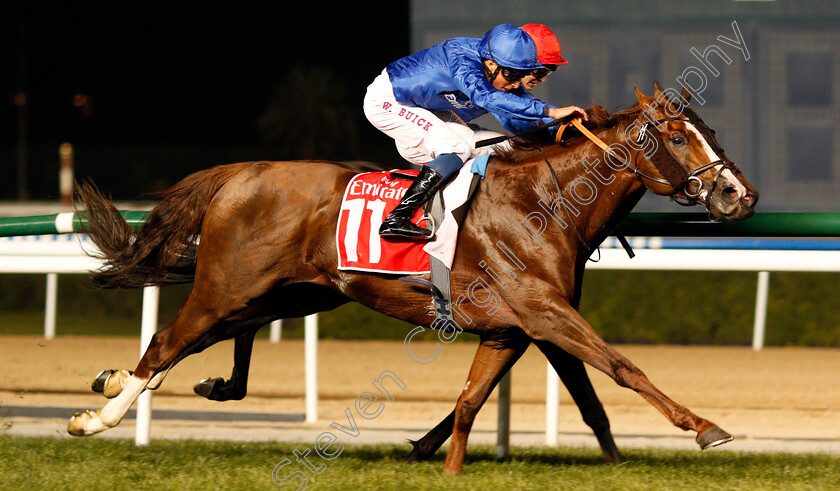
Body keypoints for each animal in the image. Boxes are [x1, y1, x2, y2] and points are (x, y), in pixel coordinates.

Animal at [69, 84, 756, 476]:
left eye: (711, 132)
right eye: (677, 136)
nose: (738, 195)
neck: (546, 202)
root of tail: (239, 172)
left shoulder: (514, 328)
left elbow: (474, 401)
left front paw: (432, 456)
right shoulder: (543, 311)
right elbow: (621, 366)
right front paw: (706, 428)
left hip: (293, 293)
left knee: (204, 347)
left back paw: (133, 382)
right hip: (227, 286)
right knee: (167, 342)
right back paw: (96, 419)